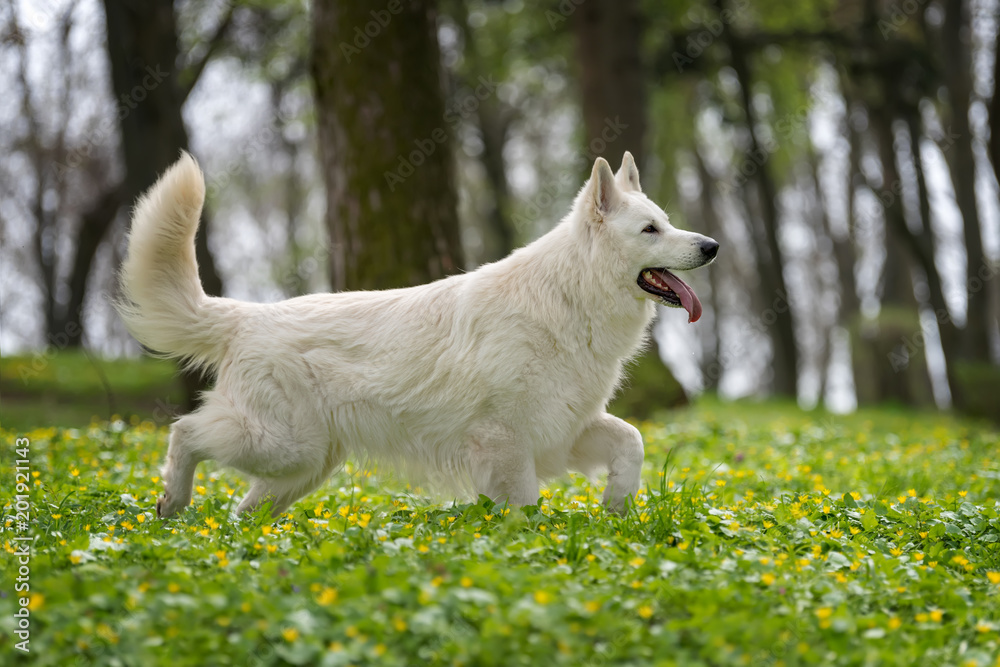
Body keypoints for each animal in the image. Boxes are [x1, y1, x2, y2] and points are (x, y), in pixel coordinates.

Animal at [117, 149, 716, 520]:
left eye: (666, 221)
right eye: (650, 230)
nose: (711, 246)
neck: (567, 296)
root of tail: (244, 315)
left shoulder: (564, 429)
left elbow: (632, 442)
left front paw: (616, 509)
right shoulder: (505, 443)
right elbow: (526, 508)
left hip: (300, 467)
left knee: (241, 513)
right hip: (279, 446)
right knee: (184, 432)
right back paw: (172, 502)